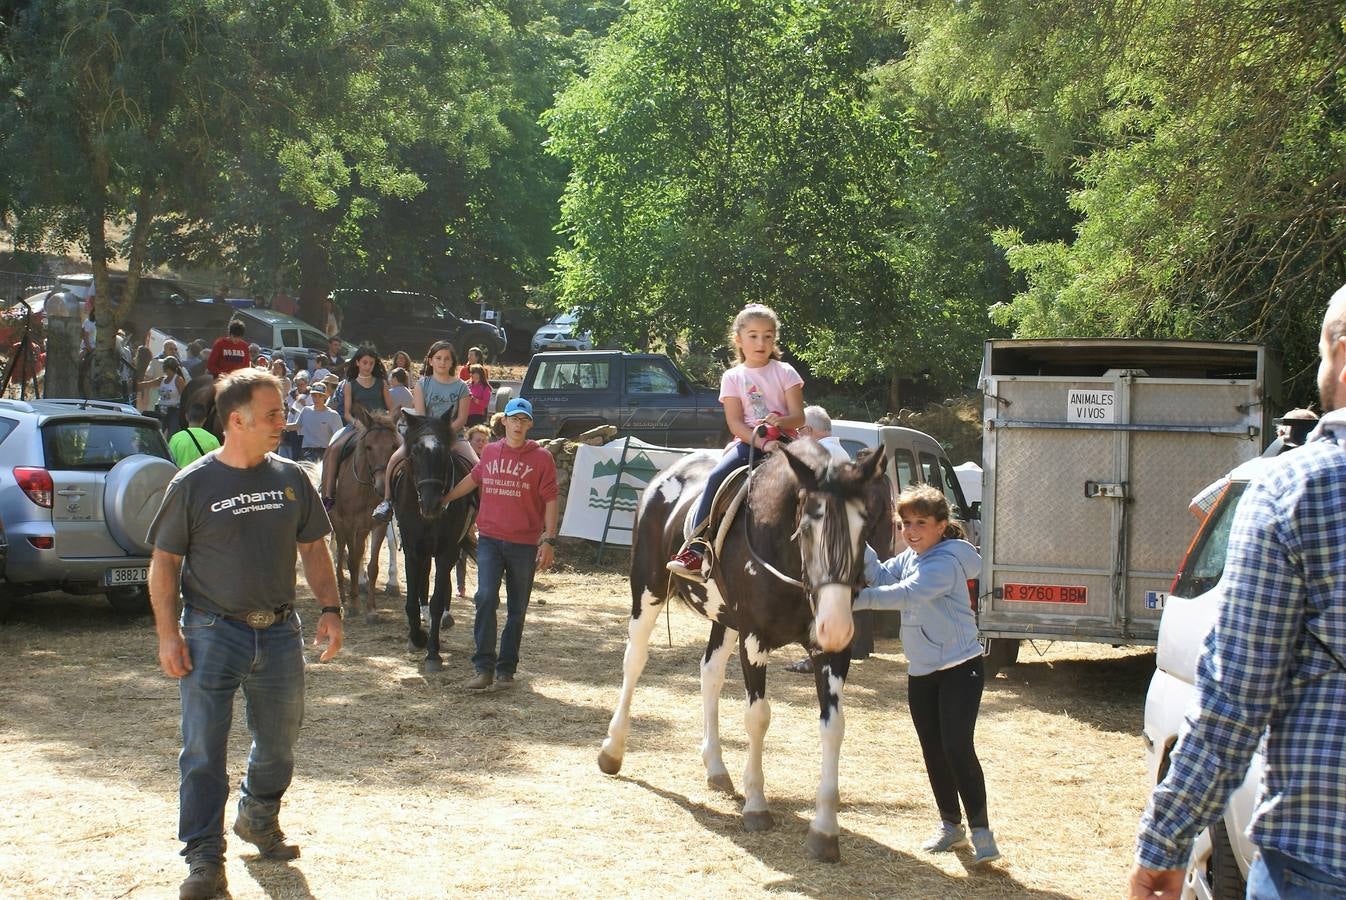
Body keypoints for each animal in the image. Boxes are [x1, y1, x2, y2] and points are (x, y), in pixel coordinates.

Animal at [393, 411, 476, 669]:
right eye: (414, 453)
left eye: (443, 454)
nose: (431, 504)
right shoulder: (412, 550)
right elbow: (411, 601)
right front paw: (417, 637)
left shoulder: (446, 551)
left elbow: (438, 599)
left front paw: (432, 652)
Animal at [597, 438, 888, 860]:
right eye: (807, 527)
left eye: (865, 525)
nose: (835, 625)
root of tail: (666, 475)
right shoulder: (755, 637)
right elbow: (758, 718)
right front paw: (756, 805)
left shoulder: (830, 651)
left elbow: (834, 726)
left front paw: (825, 828)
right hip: (647, 588)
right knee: (634, 660)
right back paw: (613, 749)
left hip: (724, 619)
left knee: (710, 673)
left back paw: (716, 767)